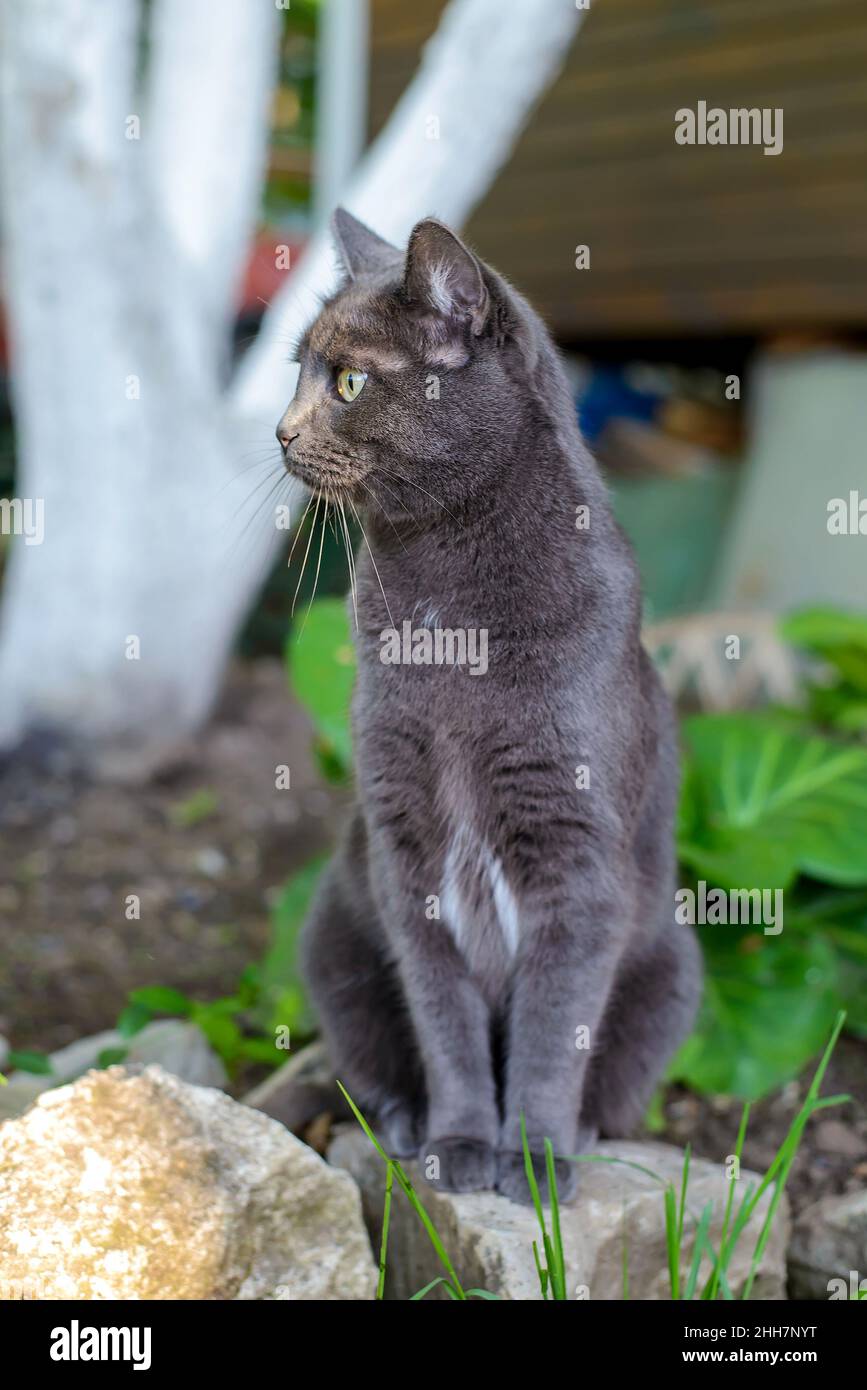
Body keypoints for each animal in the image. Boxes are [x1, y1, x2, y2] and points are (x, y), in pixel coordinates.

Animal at [273, 208, 700, 1206]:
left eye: (349, 381)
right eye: (296, 371)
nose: (279, 431)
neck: (446, 614)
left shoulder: (576, 861)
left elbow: (551, 1032)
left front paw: (533, 1159)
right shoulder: (402, 845)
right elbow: (445, 1021)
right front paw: (460, 1143)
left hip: (673, 970)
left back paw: (577, 1131)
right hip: (330, 939)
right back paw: (400, 1121)